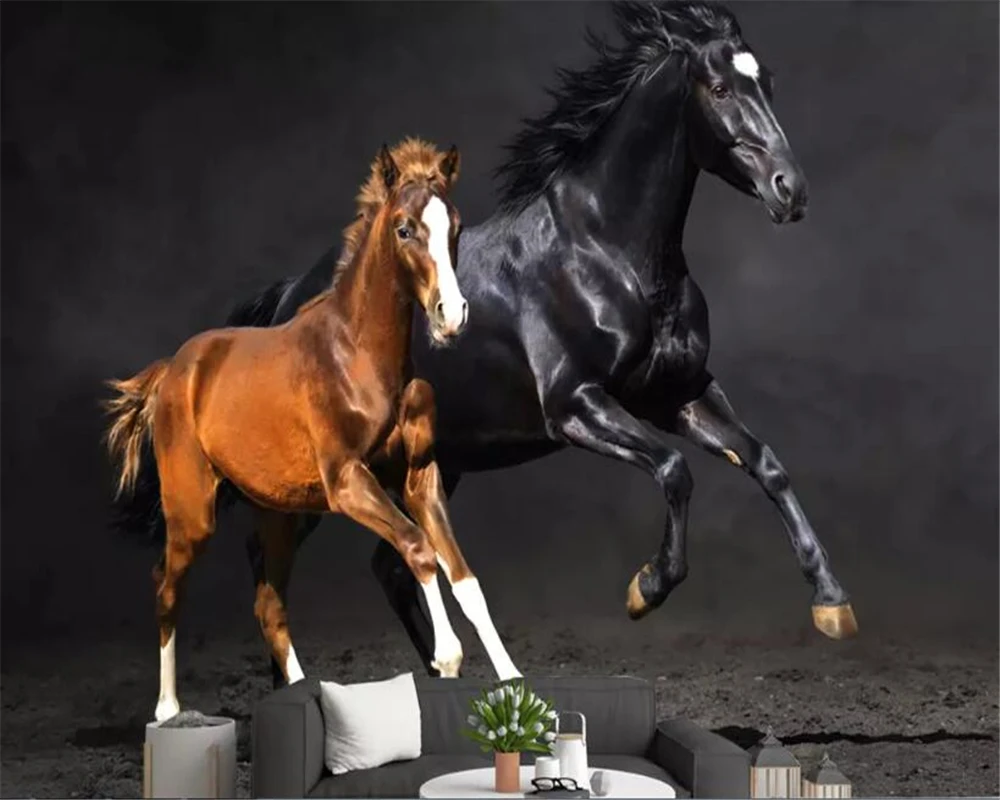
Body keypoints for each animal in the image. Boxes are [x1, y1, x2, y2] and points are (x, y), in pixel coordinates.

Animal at [103, 139, 522, 722]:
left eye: (454, 226)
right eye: (404, 228)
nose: (451, 314)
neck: (359, 358)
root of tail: (173, 369)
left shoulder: (420, 477)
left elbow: (465, 580)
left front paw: (519, 688)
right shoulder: (347, 482)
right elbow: (418, 549)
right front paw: (447, 657)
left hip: (279, 513)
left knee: (268, 605)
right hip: (193, 510)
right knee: (166, 585)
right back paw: (167, 710)